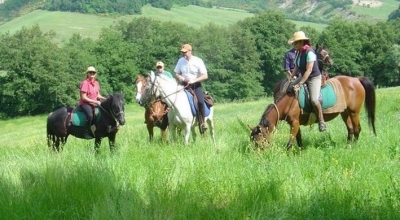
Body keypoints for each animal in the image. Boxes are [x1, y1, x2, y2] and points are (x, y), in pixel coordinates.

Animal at [248, 75, 376, 150]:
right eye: (252, 140)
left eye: (260, 140)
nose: (257, 156)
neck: (289, 101)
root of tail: (356, 79)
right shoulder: (295, 124)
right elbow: (298, 139)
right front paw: (301, 151)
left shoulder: (294, 123)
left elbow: (290, 143)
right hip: (345, 112)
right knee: (350, 129)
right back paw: (348, 146)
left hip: (354, 112)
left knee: (357, 129)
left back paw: (353, 147)